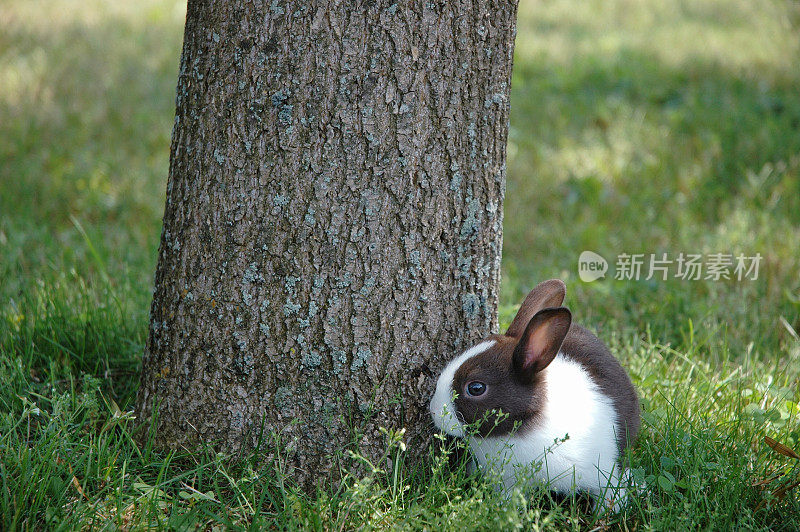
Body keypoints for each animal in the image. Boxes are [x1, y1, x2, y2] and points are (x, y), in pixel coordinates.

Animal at [428, 280, 640, 510]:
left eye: (476, 388)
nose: (433, 410)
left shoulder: (605, 472)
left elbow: (610, 495)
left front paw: (606, 514)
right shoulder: (508, 482)